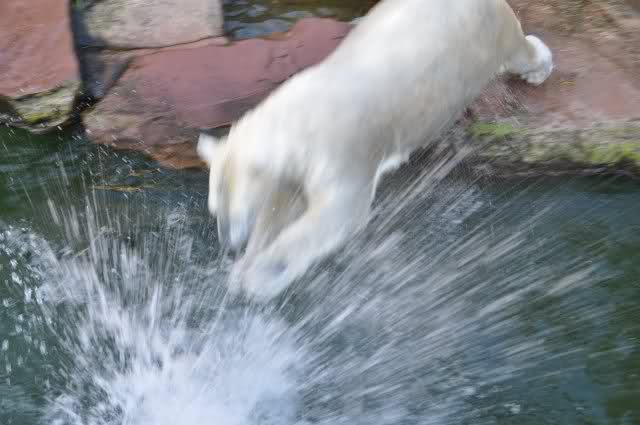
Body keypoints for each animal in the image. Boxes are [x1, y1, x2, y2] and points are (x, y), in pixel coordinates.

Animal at [197, 0, 554, 301]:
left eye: (236, 211)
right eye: (215, 210)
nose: (228, 242)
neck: (296, 122)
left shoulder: (341, 149)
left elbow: (337, 214)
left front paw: (262, 274)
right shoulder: (297, 168)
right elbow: (283, 207)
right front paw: (243, 267)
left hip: (484, 33)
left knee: (516, 49)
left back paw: (538, 67)